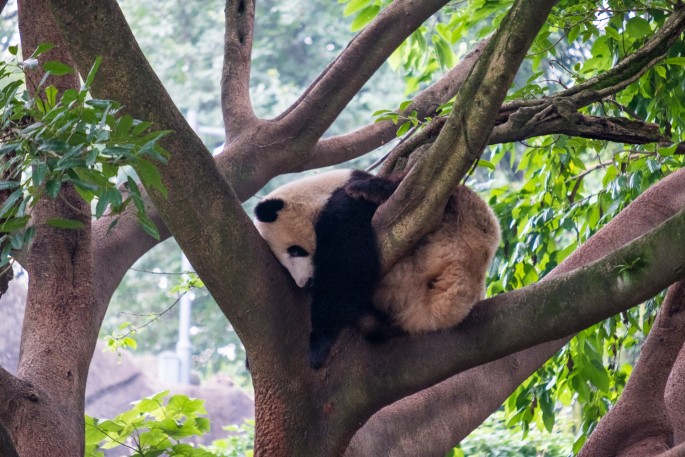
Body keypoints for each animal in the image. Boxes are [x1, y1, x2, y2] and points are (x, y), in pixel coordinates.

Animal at [254, 169, 500, 368]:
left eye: (295, 251)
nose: (305, 283)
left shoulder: (343, 209)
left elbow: (345, 267)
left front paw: (318, 342)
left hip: (431, 247)